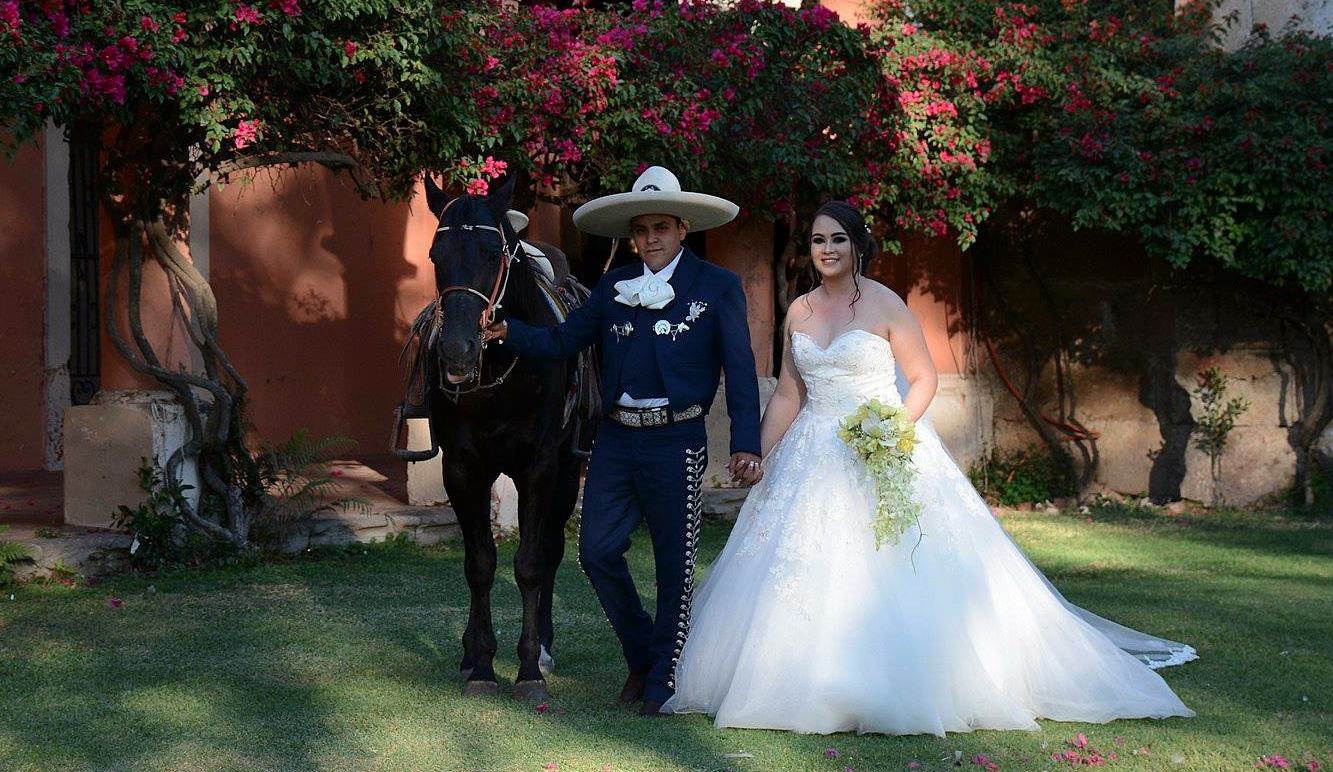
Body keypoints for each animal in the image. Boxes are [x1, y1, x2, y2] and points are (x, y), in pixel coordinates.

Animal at [389, 173, 589, 698]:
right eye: (436, 255)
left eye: (491, 252)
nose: (458, 350)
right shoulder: (463, 467)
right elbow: (479, 562)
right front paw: (480, 664)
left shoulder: (540, 467)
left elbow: (532, 562)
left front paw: (528, 668)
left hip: (569, 470)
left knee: (553, 548)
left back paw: (544, 648)